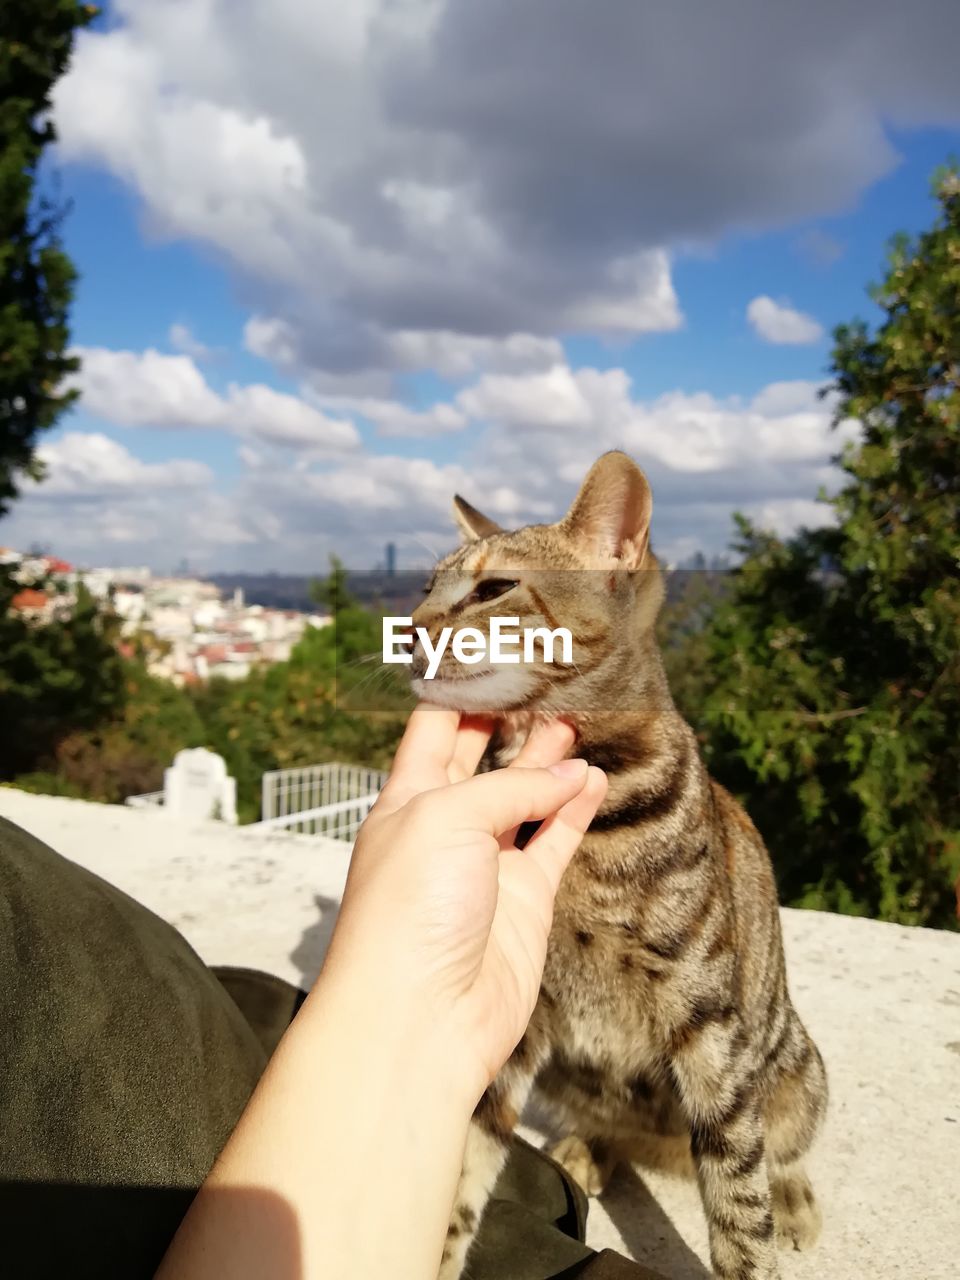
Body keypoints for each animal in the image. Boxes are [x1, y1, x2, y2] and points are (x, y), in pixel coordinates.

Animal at [409, 453, 829, 1280]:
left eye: (492, 588)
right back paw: (588, 1149)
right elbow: (465, 1167)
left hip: (794, 1064)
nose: (409, 630)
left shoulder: (707, 1020)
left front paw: (755, 1239)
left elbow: (738, 1193)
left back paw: (794, 1194)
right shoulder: (519, 1020)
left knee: (781, 1145)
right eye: (425, 586)